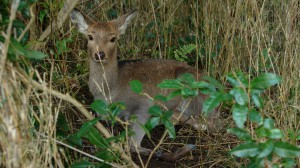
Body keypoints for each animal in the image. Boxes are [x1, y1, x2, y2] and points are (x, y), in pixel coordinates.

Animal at [69, 8, 220, 160]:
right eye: (90, 36)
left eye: (113, 38)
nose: (99, 54)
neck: (111, 90)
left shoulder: (145, 104)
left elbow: (133, 144)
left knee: (211, 124)